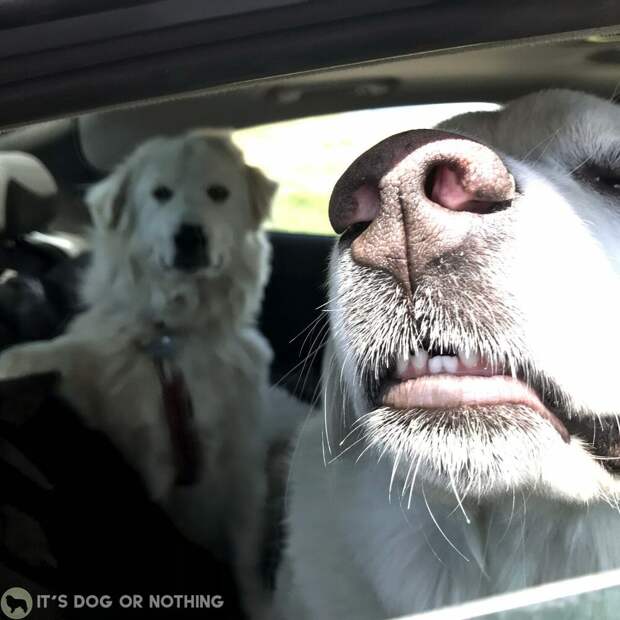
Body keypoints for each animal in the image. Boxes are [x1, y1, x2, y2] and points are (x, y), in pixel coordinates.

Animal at [0, 131, 278, 616]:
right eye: (160, 194)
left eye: (218, 193)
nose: (190, 236)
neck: (171, 340)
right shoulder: (148, 457)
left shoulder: (243, 460)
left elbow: (245, 550)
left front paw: (258, 603)